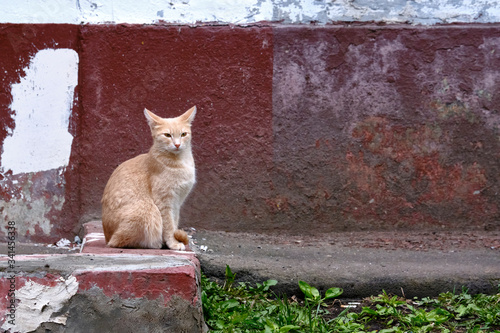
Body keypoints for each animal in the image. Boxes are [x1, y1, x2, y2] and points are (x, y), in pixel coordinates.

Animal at [100, 106, 196, 249]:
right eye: (167, 135)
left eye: (183, 134)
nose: (177, 144)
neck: (181, 161)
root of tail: (106, 238)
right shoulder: (164, 201)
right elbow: (169, 226)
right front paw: (173, 243)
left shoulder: (177, 202)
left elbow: (174, 222)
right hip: (147, 209)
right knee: (118, 242)